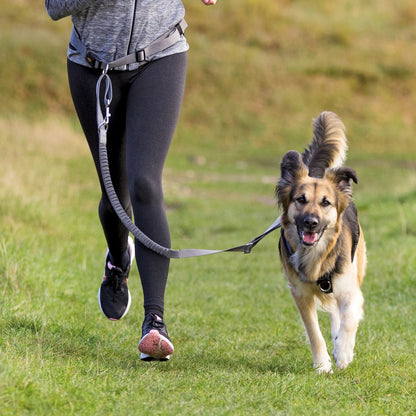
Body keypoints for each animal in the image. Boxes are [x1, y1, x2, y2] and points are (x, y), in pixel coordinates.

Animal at [278, 110, 366, 374]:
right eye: (300, 199)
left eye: (325, 203)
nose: (311, 223)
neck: (316, 254)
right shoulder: (301, 294)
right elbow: (314, 332)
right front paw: (322, 365)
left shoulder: (350, 289)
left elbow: (349, 320)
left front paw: (343, 352)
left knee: (340, 312)